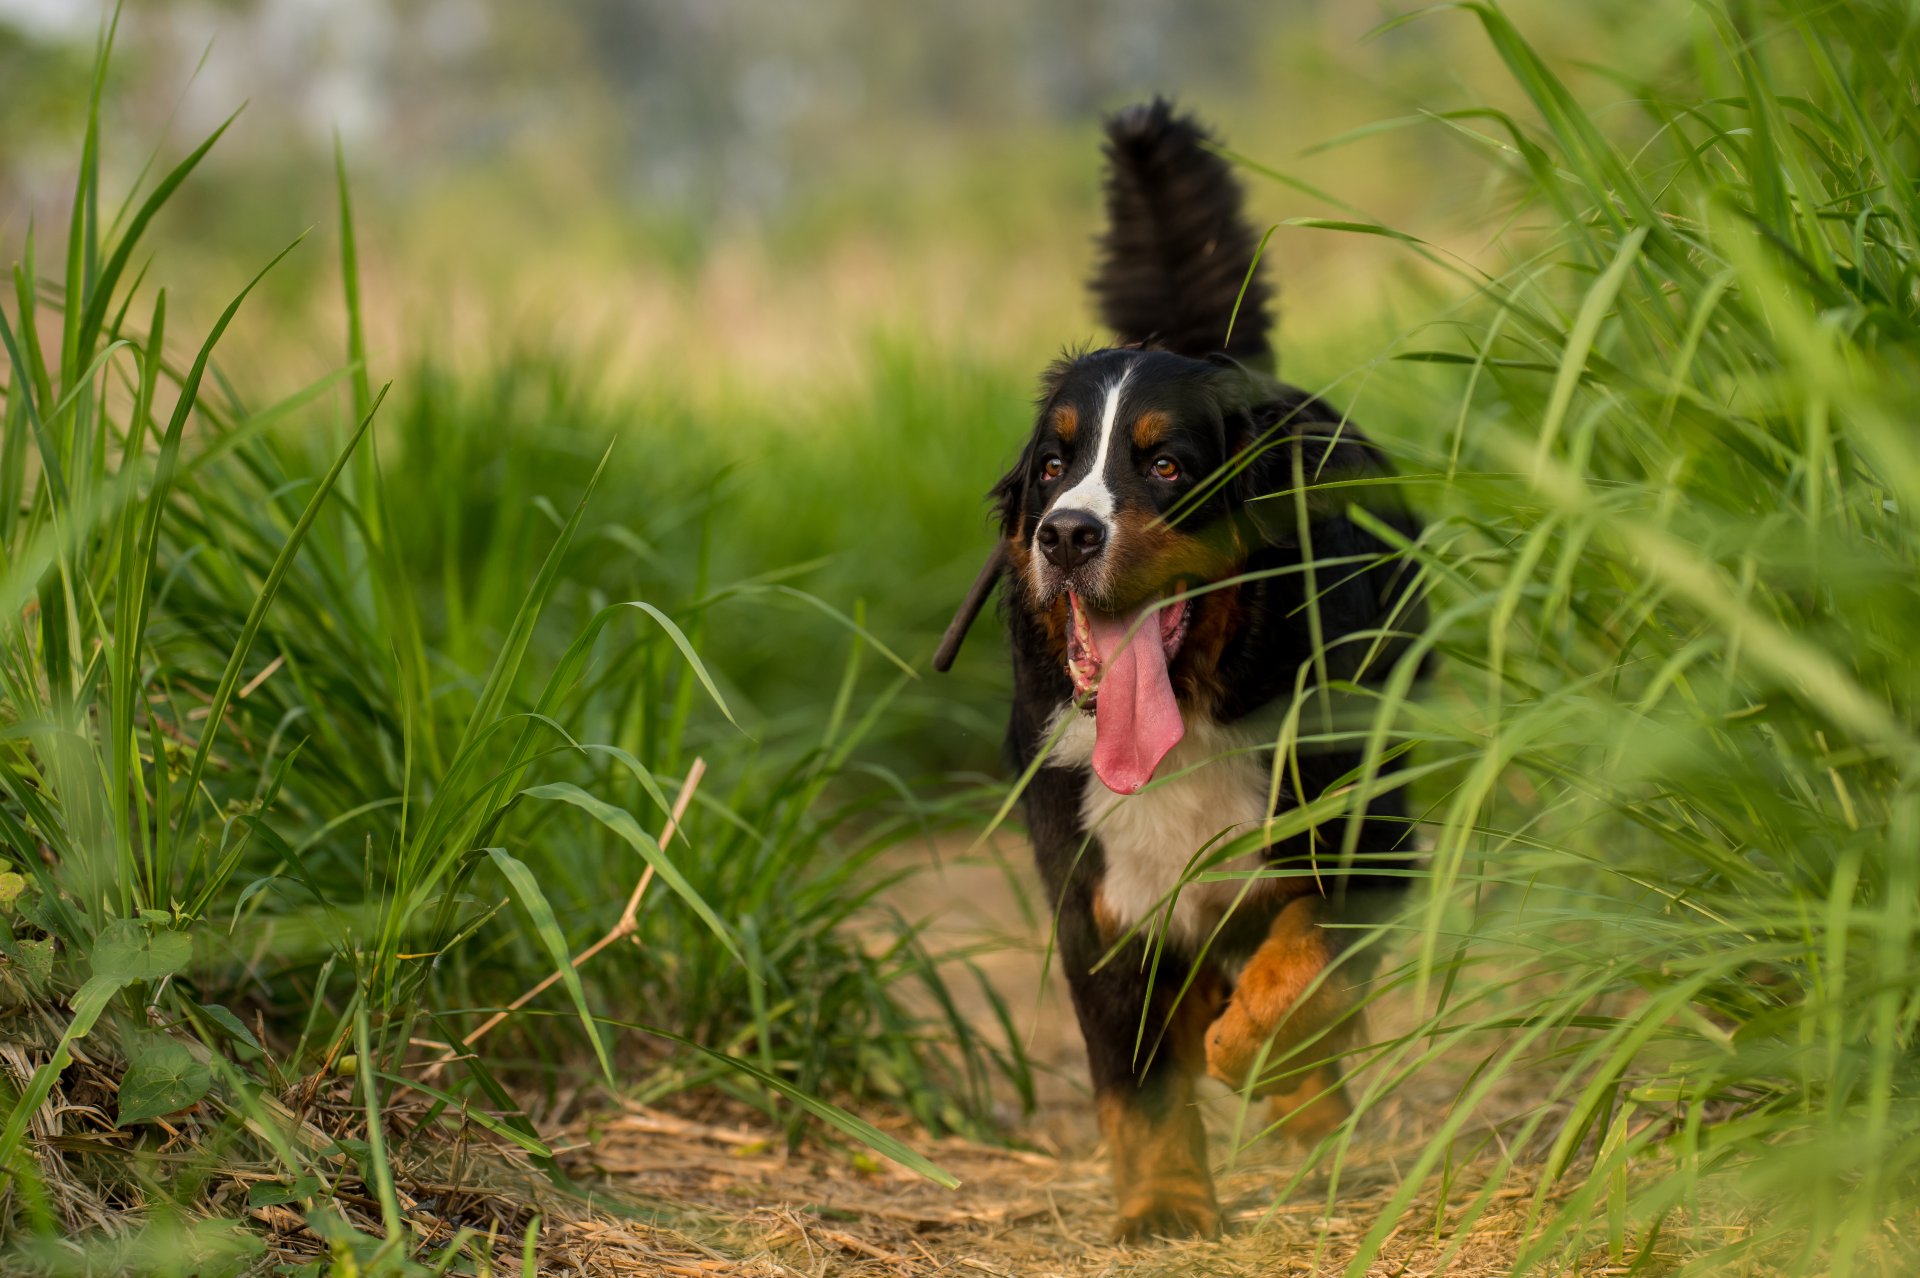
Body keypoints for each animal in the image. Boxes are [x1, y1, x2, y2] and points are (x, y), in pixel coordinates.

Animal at [936, 102, 1420, 1243]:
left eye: (1165, 466)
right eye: (1054, 466)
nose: (1068, 534)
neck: (1195, 717)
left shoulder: (1370, 843)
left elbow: (1300, 974)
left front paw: (1270, 1068)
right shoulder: (1097, 899)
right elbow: (1138, 1080)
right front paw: (1164, 1205)